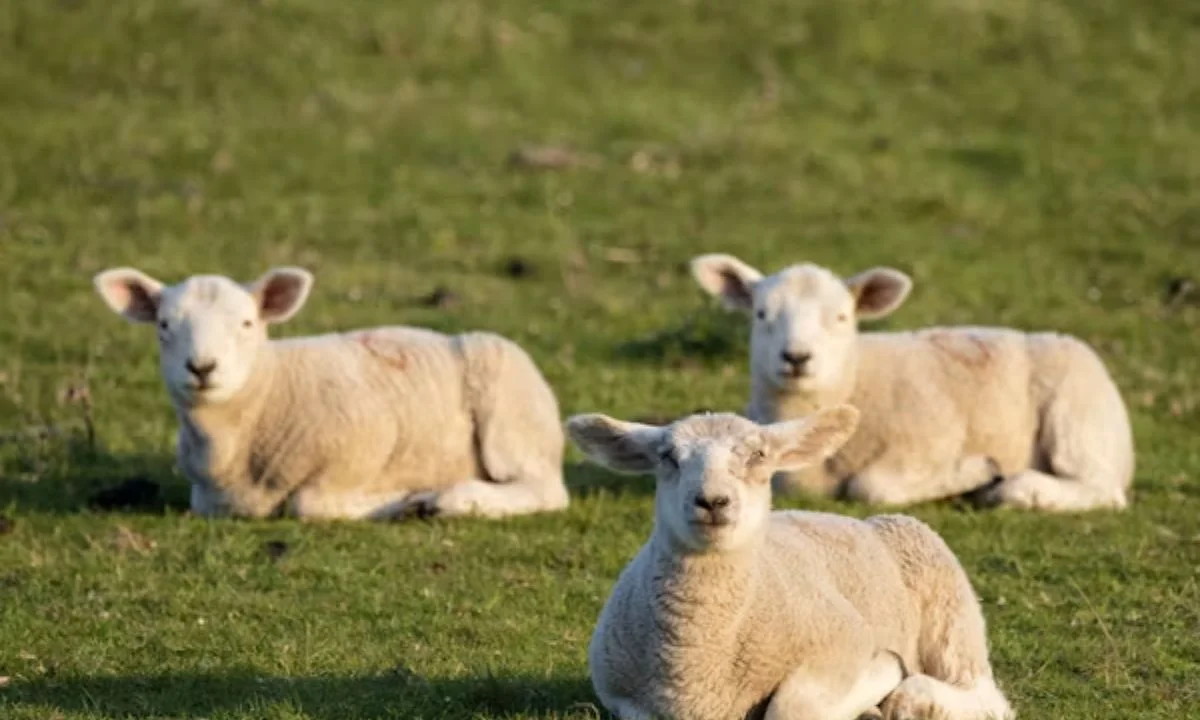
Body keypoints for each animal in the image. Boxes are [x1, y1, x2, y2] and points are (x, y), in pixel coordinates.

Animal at [92, 265, 569, 521]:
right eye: (164, 326)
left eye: (246, 323)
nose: (202, 367)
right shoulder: (207, 500)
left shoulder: (370, 441)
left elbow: (310, 504)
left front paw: (401, 502)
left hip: (510, 416)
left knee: (544, 489)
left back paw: (452, 499)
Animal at [566, 405, 1015, 720]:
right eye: (668, 458)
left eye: (758, 455)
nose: (712, 501)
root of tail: (862, 521)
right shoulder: (619, 691)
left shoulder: (843, 642)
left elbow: (790, 708)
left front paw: (880, 682)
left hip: (949, 611)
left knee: (985, 695)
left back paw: (911, 697)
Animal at [689, 254, 1135, 513]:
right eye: (761, 314)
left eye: (841, 318)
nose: (796, 357)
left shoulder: (935, 439)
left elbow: (870, 488)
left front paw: (976, 473)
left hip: (1076, 418)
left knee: (1101, 488)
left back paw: (1015, 489)